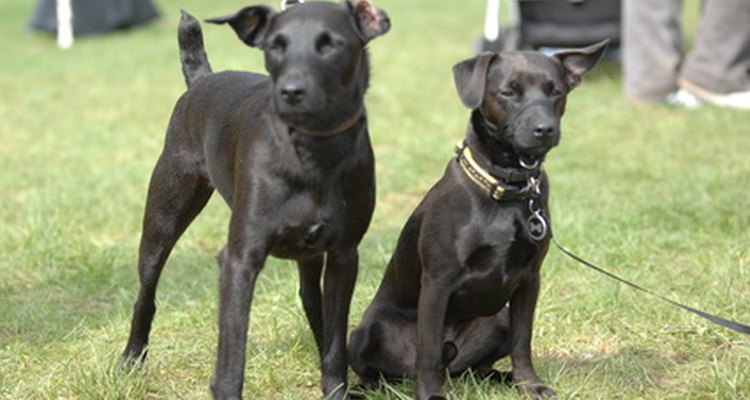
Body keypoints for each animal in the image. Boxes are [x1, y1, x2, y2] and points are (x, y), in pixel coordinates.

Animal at [120, 1, 390, 398]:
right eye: (275, 46)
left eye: (331, 44)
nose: (291, 91)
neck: (311, 152)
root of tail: (201, 81)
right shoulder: (240, 260)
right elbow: (232, 354)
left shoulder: (344, 255)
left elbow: (336, 341)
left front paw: (336, 388)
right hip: (163, 218)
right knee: (146, 293)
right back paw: (131, 359)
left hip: (310, 256)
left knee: (312, 300)